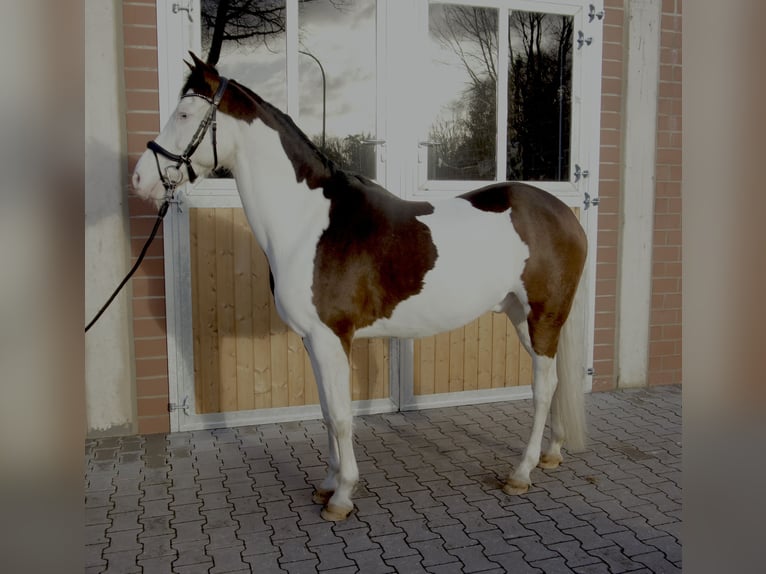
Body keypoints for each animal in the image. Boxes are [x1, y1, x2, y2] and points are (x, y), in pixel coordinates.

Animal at [130, 56, 588, 524]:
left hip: (542, 317)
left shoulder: (332, 337)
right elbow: (326, 413)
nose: (140, 179)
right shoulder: (313, 340)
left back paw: (521, 471)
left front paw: (343, 495)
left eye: (184, 114)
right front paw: (328, 483)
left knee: (543, 389)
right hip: (523, 316)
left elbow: (341, 416)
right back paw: (551, 454)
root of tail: (562, 214)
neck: (310, 223)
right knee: (553, 384)